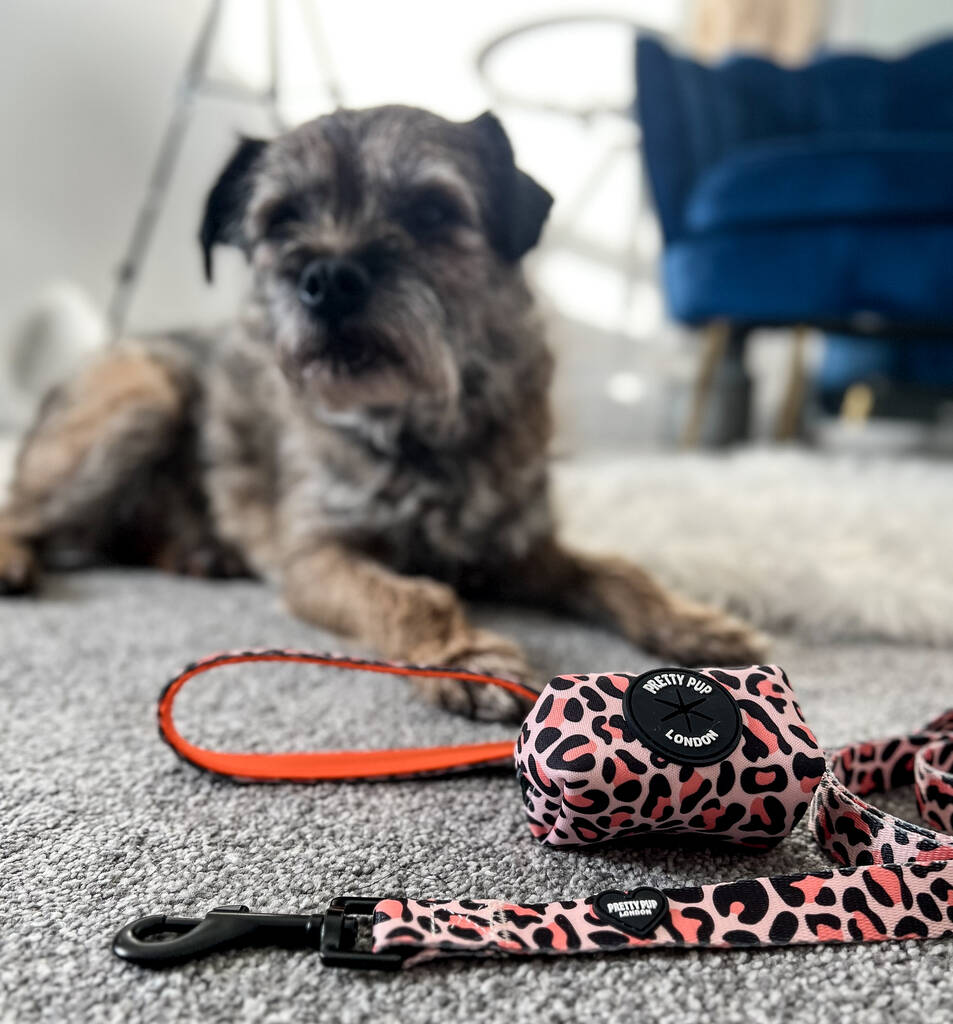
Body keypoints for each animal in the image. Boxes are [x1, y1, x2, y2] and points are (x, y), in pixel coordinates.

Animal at [0, 101, 765, 712]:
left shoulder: (523, 552)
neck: (422, 423)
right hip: (142, 399)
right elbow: (412, 593)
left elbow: (616, 570)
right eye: (281, 221)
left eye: (431, 212)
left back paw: (199, 552)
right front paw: (461, 656)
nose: (329, 278)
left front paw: (694, 622)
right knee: (24, 512)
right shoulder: (317, 557)